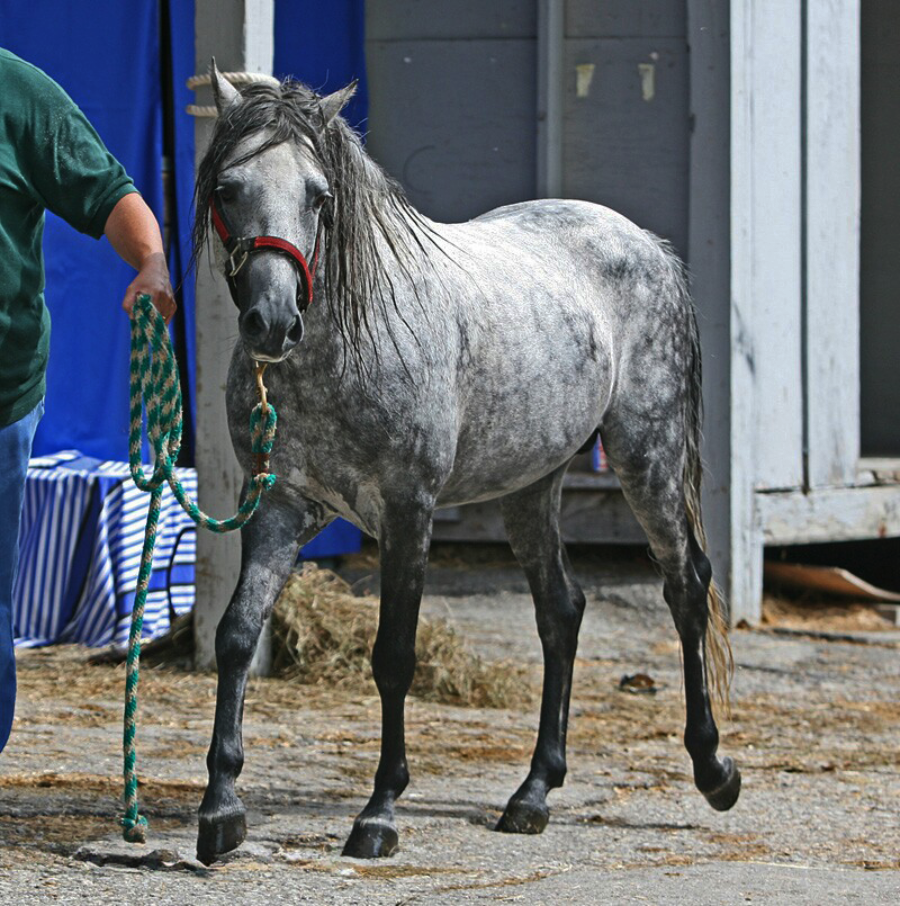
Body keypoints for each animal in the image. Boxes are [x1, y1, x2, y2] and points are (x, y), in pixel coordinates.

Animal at [191, 61, 741, 866]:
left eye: (319, 196)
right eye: (229, 188)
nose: (274, 321)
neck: (346, 346)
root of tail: (646, 243)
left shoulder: (407, 511)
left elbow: (393, 657)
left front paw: (380, 813)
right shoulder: (282, 508)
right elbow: (235, 636)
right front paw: (221, 809)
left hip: (650, 456)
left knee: (685, 585)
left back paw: (713, 770)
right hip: (531, 487)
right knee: (561, 611)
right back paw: (533, 794)